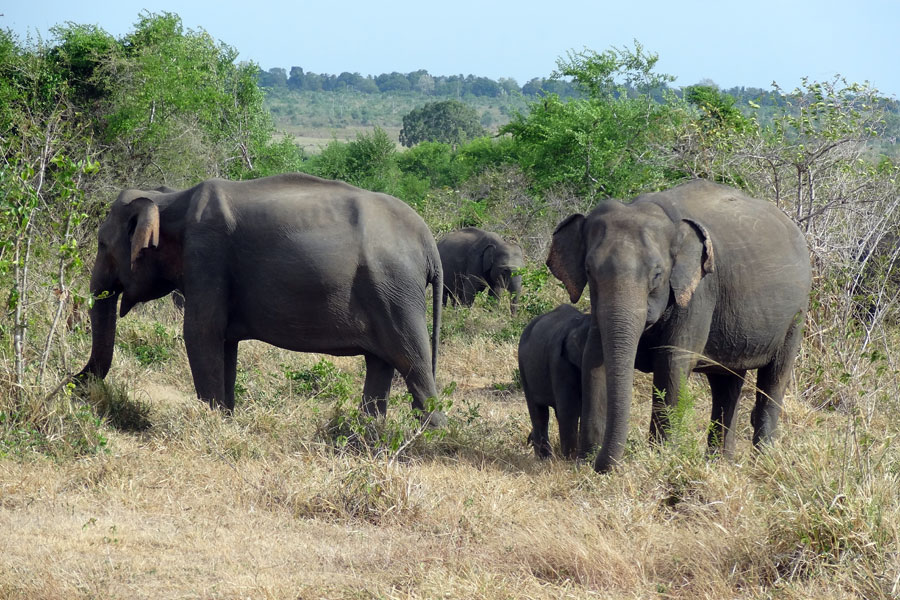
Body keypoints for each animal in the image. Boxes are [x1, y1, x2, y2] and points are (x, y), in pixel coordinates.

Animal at [76, 169, 446, 424]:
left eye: (102, 245)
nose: (75, 384)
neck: (169, 199)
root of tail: (429, 241)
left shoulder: (207, 254)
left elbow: (200, 334)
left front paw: (212, 424)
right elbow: (224, 344)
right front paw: (226, 419)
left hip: (394, 291)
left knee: (412, 363)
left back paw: (429, 440)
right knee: (381, 363)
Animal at [516, 304, 596, 460]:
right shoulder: (559, 362)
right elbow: (569, 409)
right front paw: (569, 459)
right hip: (523, 366)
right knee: (539, 413)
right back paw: (544, 458)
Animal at [544, 179, 812, 474]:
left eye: (657, 275)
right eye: (590, 272)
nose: (604, 465)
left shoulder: (699, 292)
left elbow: (672, 363)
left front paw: (659, 459)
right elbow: (594, 359)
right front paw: (585, 462)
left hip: (797, 314)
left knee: (774, 377)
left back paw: (761, 460)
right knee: (726, 384)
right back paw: (720, 463)